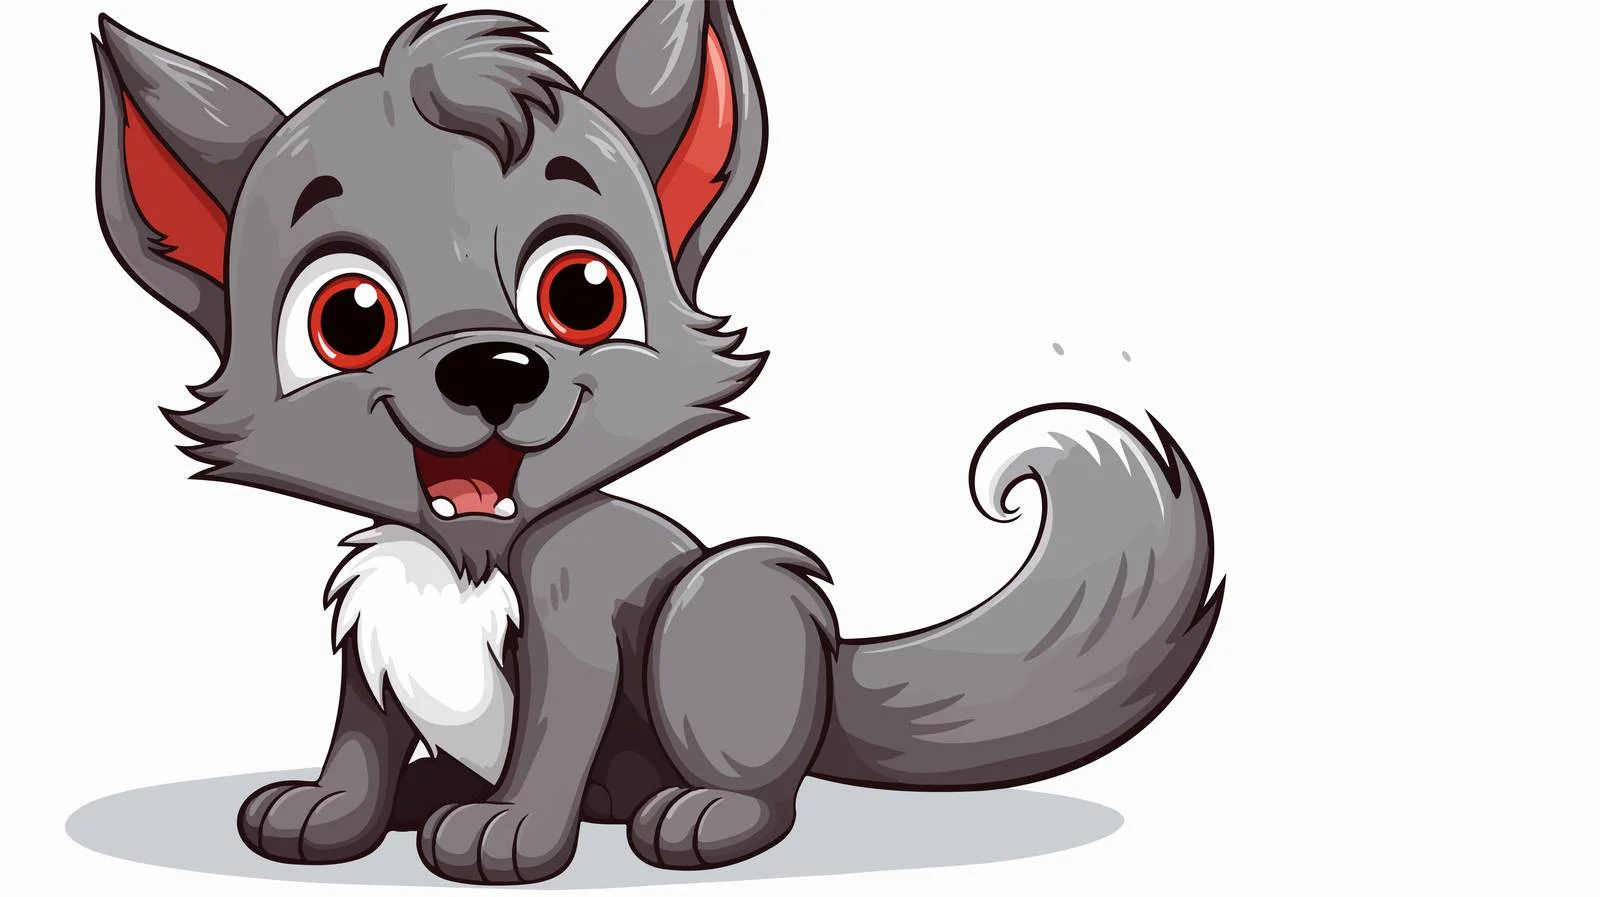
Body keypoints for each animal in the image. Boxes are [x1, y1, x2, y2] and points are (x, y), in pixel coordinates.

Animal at [93, 1, 1225, 885]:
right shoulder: (371, 631)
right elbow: (359, 736)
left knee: (758, 778)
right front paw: (331, 811)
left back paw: (699, 816)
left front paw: (507, 831)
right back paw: (431, 790)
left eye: (584, 294)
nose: (493, 368)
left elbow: (552, 731)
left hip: (723, 604)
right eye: (350, 319)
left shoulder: (574, 619)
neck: (462, 556)